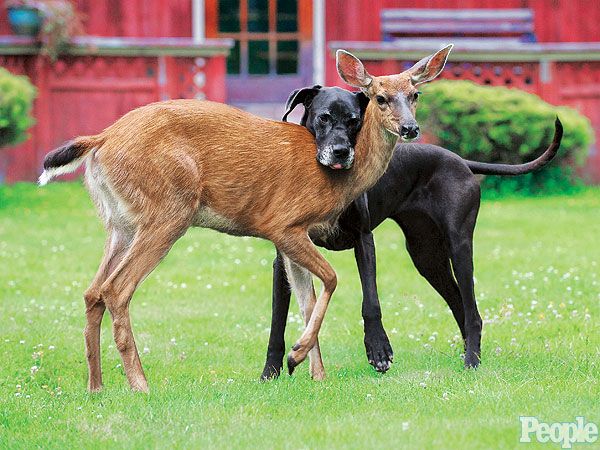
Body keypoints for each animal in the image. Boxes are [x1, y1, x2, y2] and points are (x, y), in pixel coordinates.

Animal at [38, 45, 450, 390]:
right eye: (380, 97)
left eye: (415, 94)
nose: (410, 128)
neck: (336, 180)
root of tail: (102, 140)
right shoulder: (284, 224)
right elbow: (331, 279)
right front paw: (297, 357)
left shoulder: (291, 239)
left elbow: (306, 301)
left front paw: (313, 373)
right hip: (167, 212)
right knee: (116, 289)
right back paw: (140, 385)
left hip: (120, 223)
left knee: (93, 291)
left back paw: (96, 387)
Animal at [262, 85, 564, 380]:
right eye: (323, 118)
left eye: (354, 121)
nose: (341, 152)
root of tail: (459, 160)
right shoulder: (285, 257)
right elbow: (278, 318)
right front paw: (271, 372)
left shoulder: (363, 240)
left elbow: (371, 301)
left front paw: (379, 350)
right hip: (426, 257)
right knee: (459, 304)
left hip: (459, 247)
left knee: (472, 311)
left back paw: (472, 362)